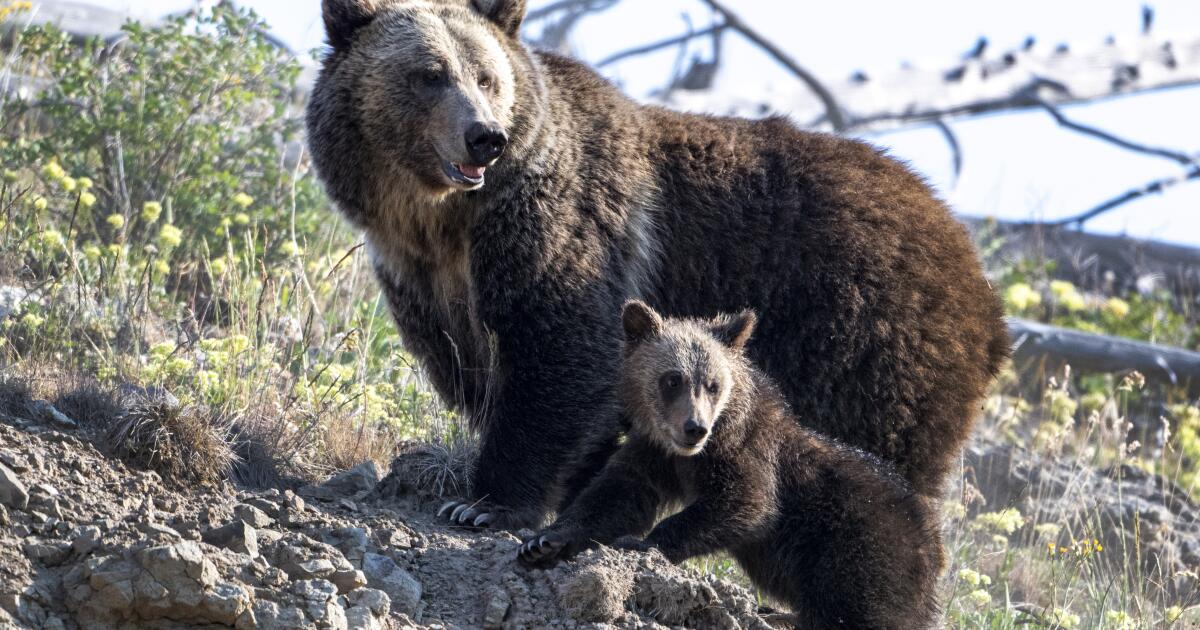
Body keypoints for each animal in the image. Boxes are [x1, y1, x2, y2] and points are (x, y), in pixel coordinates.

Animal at [306, 0, 1009, 530]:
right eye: (430, 73)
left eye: (484, 75)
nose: (485, 136)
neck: (447, 218)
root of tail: (982, 283)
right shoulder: (426, 277)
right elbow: (475, 367)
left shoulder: (562, 231)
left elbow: (558, 355)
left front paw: (487, 502)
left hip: (867, 339)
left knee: (879, 454)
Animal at [518, 301, 944, 630]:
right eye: (672, 379)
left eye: (712, 384)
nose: (695, 428)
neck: (694, 456)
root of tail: (933, 542)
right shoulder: (655, 453)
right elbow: (617, 495)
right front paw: (542, 542)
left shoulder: (748, 454)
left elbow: (745, 503)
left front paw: (641, 545)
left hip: (862, 550)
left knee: (858, 609)